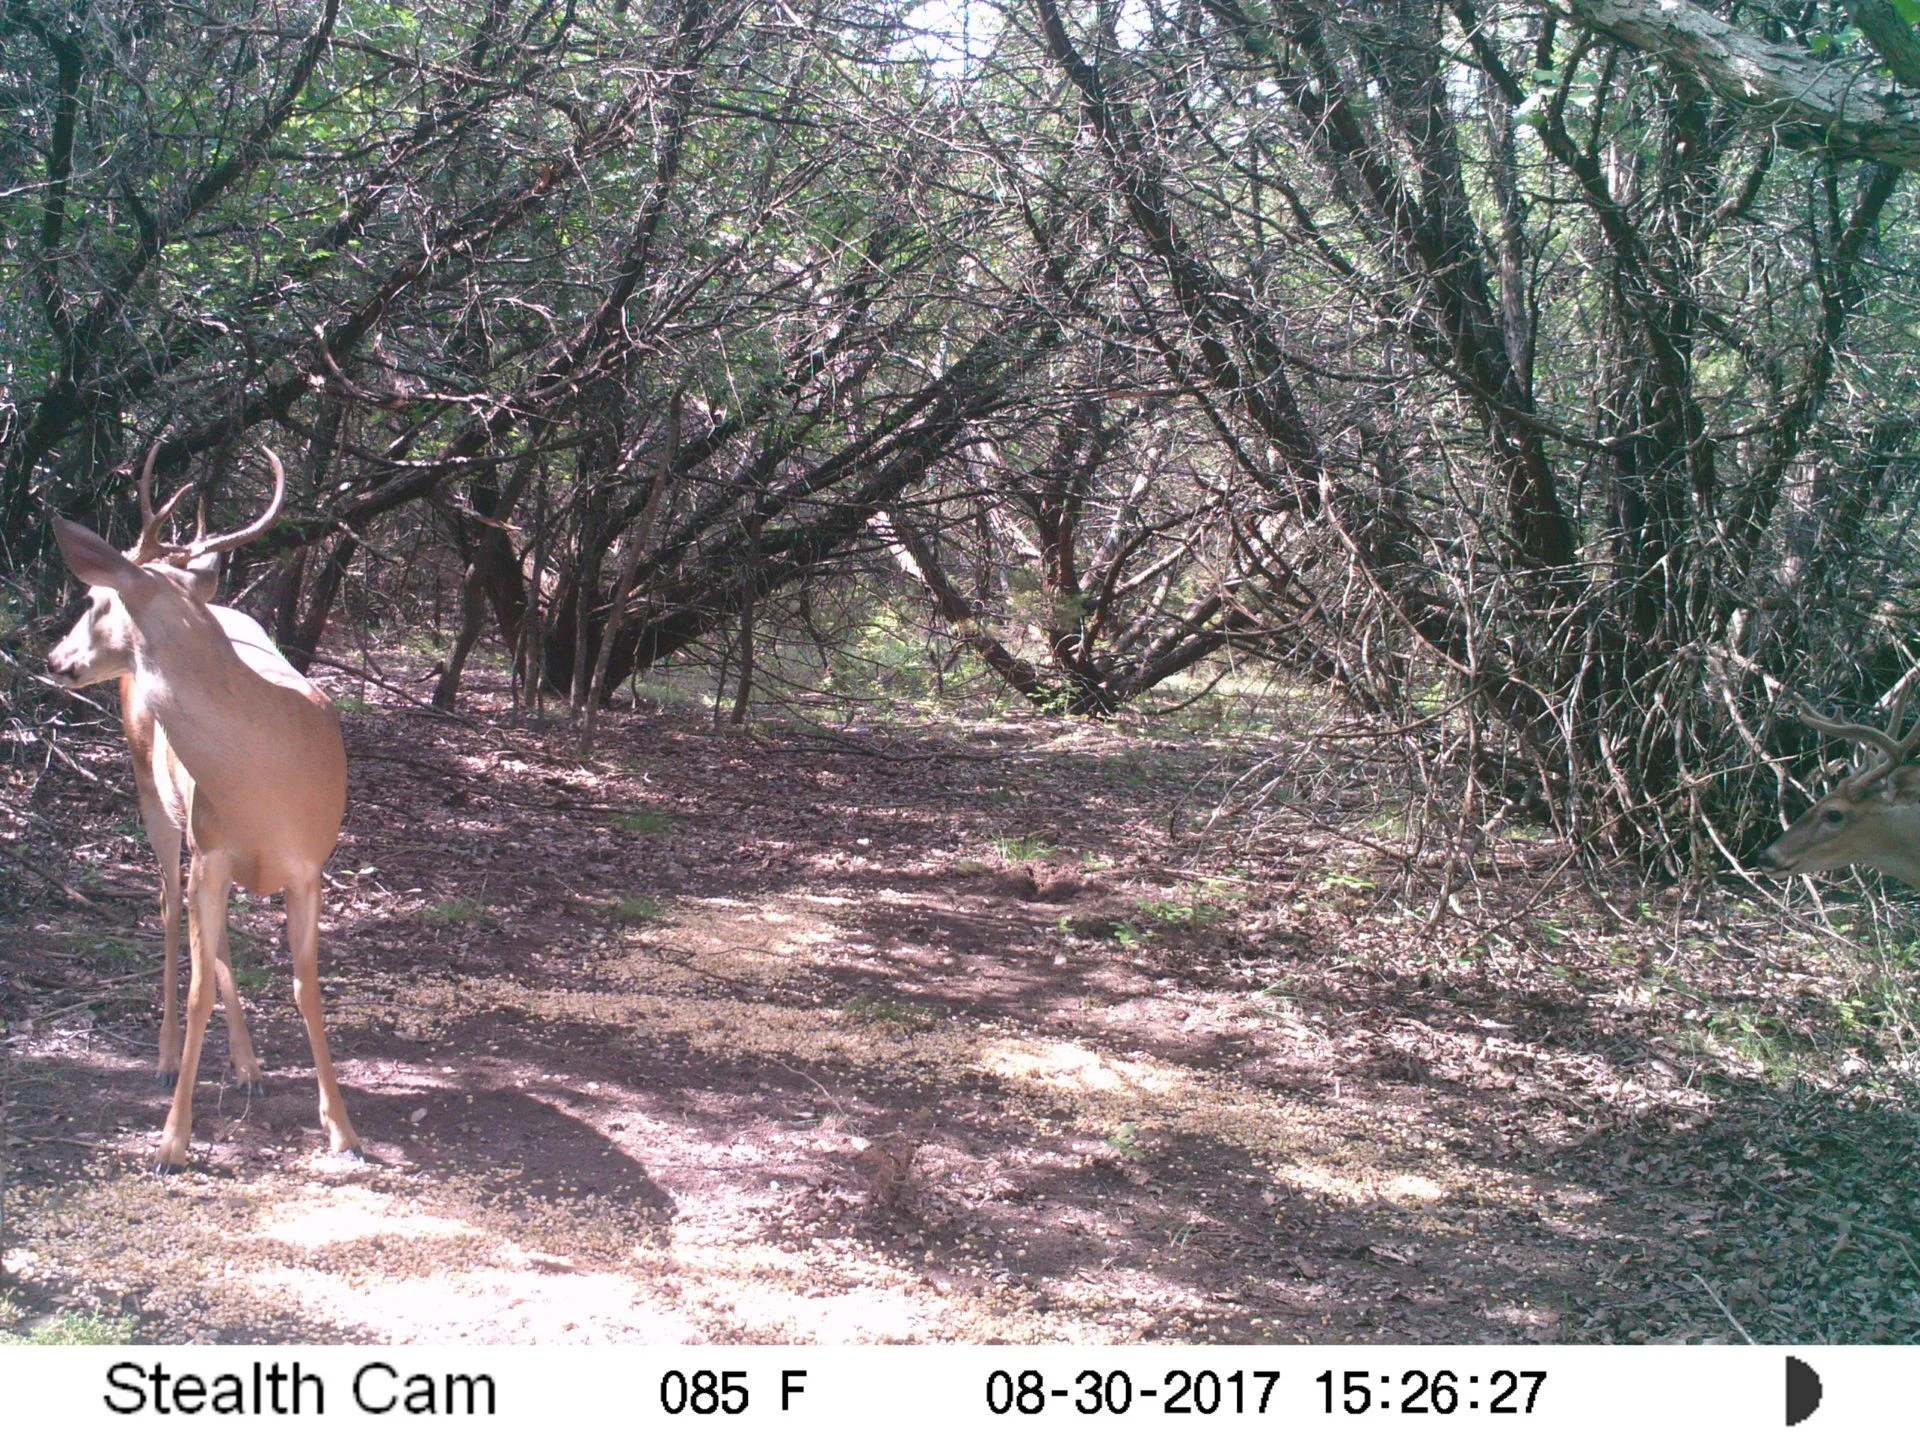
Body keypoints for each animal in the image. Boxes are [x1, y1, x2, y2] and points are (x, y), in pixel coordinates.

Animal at [42, 451, 360, 1175]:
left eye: (93, 601)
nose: (55, 657)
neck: (263, 776)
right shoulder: (209, 851)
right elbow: (196, 992)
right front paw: (171, 1141)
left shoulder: (309, 866)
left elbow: (306, 988)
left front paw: (343, 1131)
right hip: (153, 794)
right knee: (167, 910)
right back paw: (166, 1061)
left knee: (210, 936)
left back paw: (249, 1067)